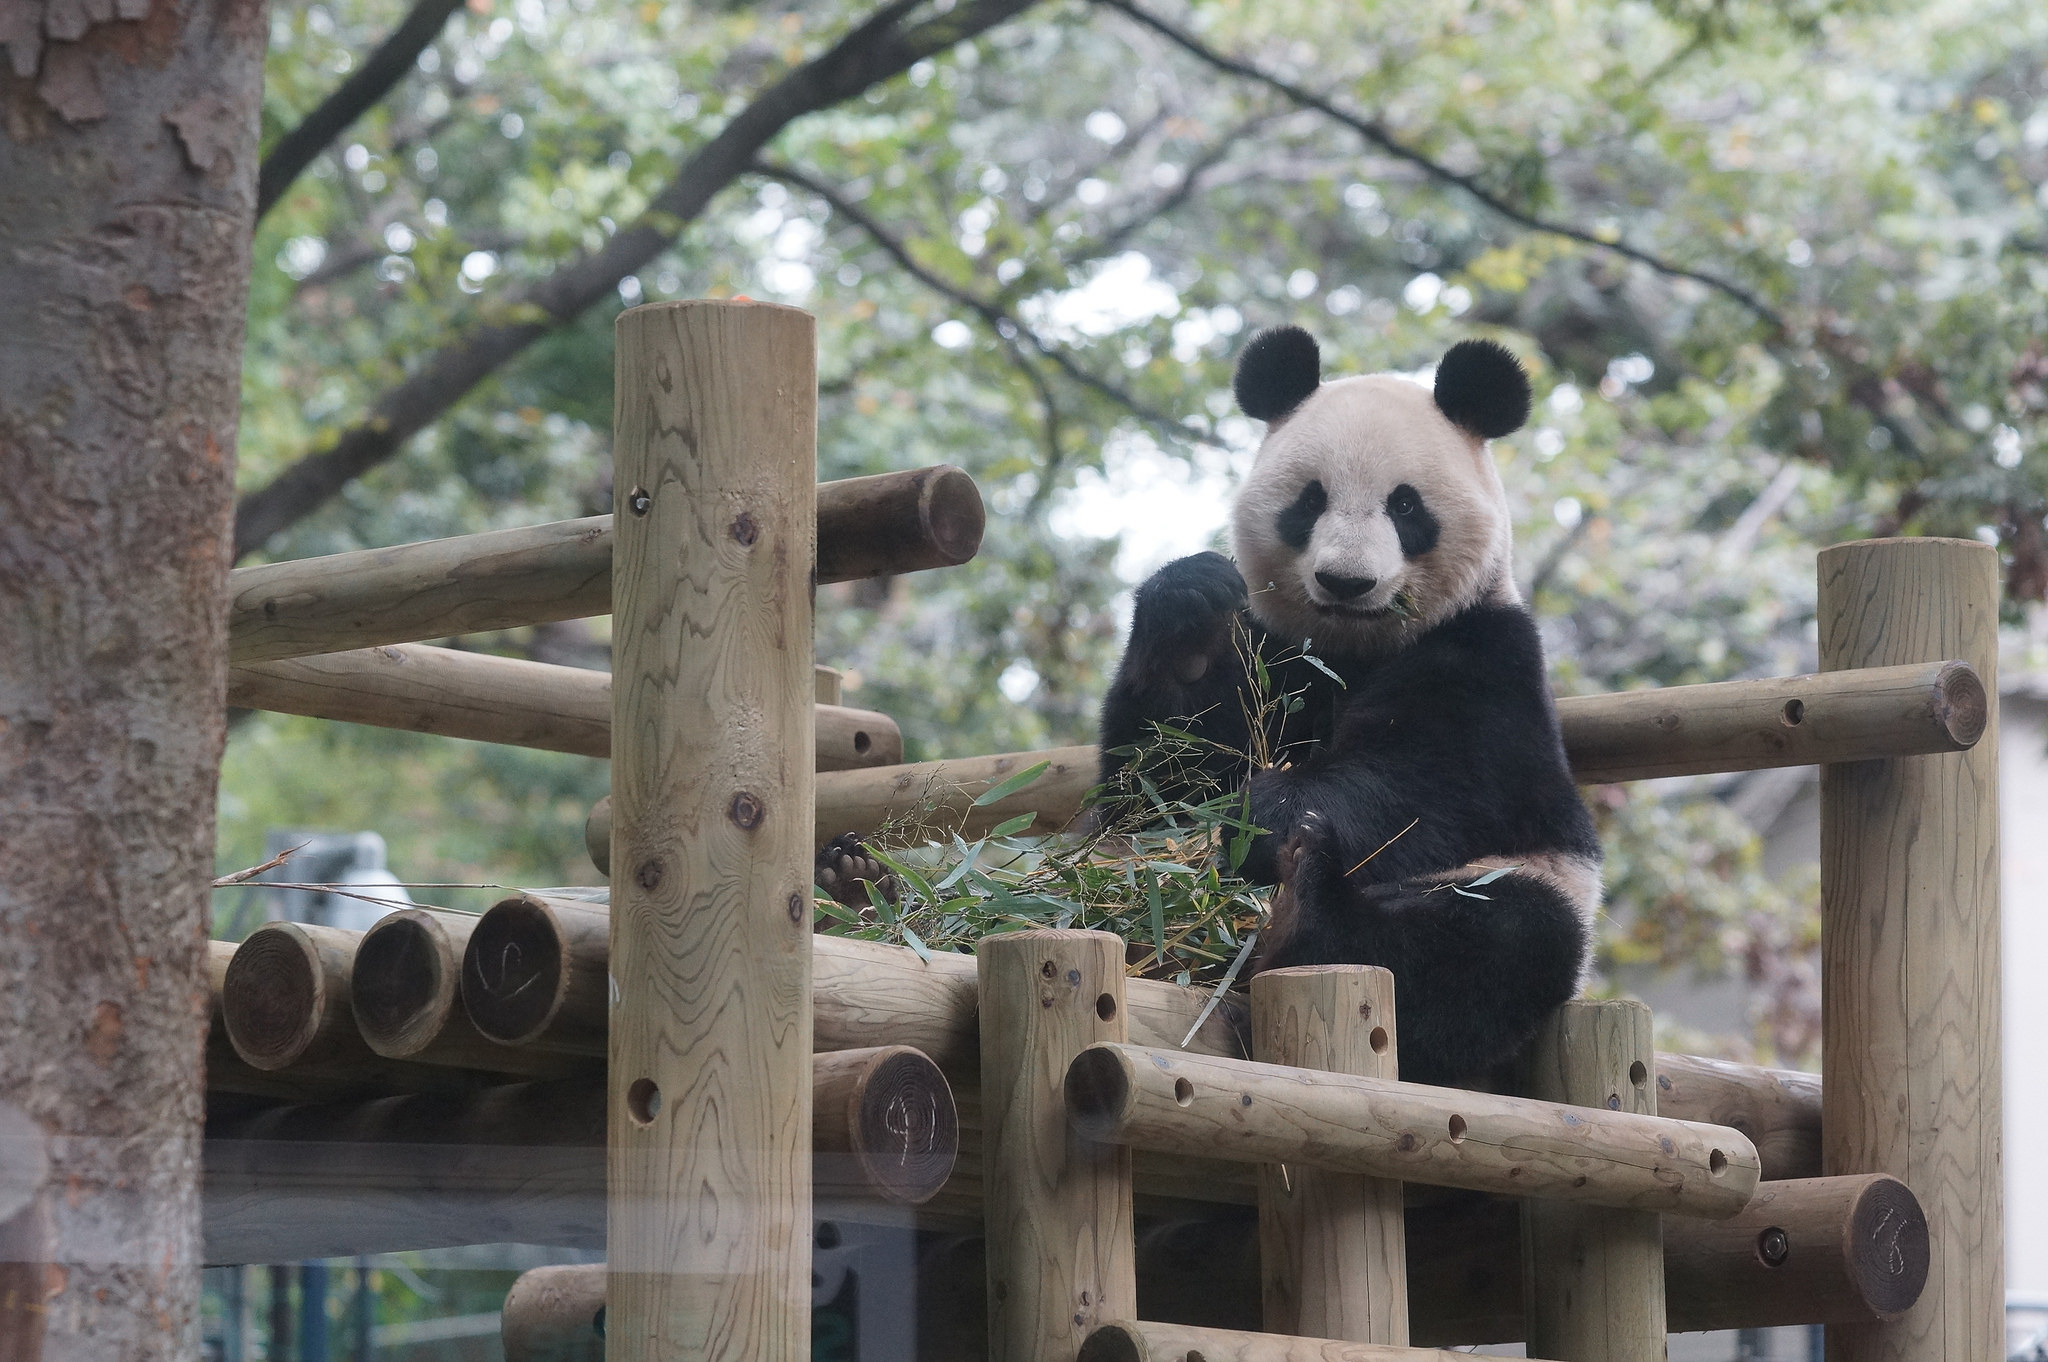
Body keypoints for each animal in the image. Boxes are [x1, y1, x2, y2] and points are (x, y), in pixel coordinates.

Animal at [1105, 327, 1597, 1081]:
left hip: (1528, 879)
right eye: (1310, 501)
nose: (1346, 580)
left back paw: (1311, 902)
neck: (1352, 647)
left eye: (1406, 506)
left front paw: (1272, 813)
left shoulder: (1487, 655)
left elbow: (1430, 783)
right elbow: (1160, 780)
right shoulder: (1272, 652)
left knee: (1500, 938)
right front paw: (1186, 624)